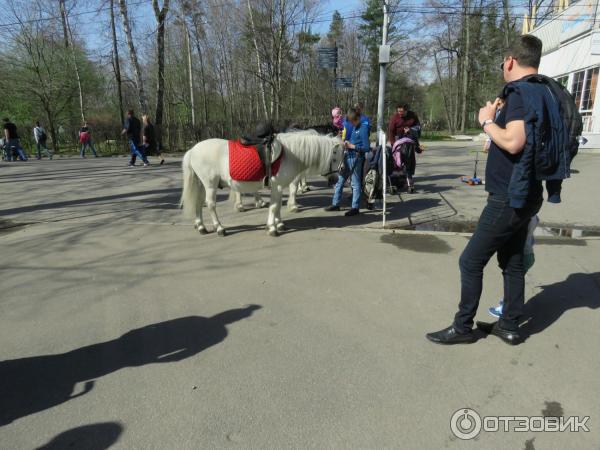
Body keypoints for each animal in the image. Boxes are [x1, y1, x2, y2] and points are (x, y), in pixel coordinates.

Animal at [179, 132, 342, 236]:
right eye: (335, 158)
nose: (335, 179)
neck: (289, 154)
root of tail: (192, 150)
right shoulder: (277, 186)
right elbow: (274, 206)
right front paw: (272, 228)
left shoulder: (278, 187)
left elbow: (277, 206)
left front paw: (279, 224)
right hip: (210, 185)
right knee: (211, 205)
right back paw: (219, 228)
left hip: (201, 184)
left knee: (198, 203)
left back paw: (201, 227)